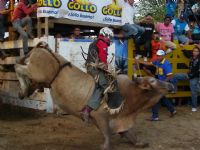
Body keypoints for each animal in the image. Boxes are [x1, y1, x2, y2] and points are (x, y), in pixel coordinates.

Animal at [14, 42, 173, 150]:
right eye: (153, 81)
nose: (170, 85)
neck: (129, 94)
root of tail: (41, 48)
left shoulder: (121, 120)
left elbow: (129, 134)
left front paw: (140, 142)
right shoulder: (100, 116)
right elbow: (107, 133)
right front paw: (105, 146)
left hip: (38, 80)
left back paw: (23, 91)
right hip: (35, 72)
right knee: (17, 66)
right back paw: (22, 89)